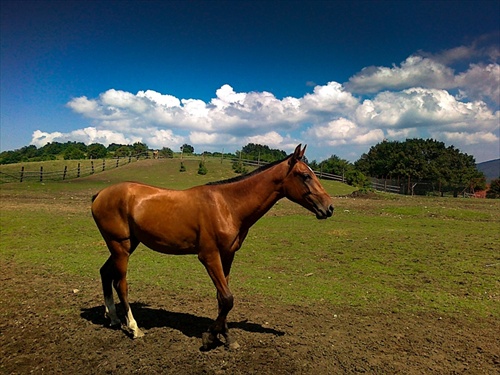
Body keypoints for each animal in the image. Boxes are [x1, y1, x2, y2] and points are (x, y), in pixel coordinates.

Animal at [92, 145, 334, 352]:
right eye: (305, 176)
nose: (329, 207)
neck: (227, 205)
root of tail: (100, 195)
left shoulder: (227, 256)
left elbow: (222, 298)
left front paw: (225, 337)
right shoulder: (208, 256)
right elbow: (227, 298)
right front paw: (209, 337)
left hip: (126, 246)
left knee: (105, 273)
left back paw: (113, 318)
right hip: (121, 247)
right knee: (120, 284)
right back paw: (134, 328)